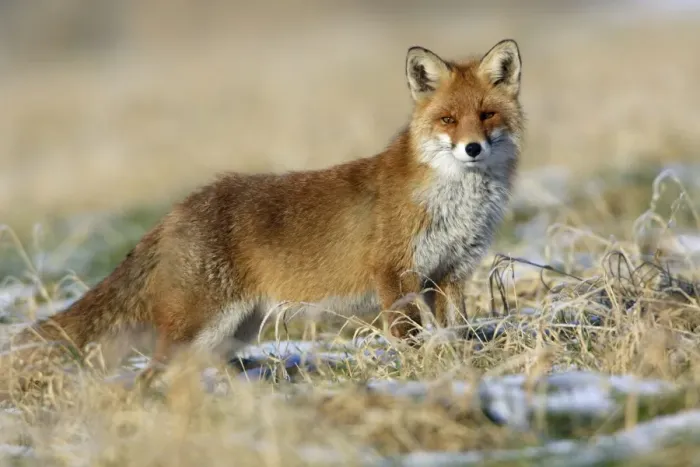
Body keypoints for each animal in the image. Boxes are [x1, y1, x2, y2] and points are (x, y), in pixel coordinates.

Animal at [11, 39, 524, 382]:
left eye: (487, 114)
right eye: (448, 120)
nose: (473, 149)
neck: (456, 203)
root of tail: (176, 210)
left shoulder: (448, 274)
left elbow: (454, 333)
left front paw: (461, 367)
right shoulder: (395, 275)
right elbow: (411, 338)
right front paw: (426, 375)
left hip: (232, 332)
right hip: (199, 328)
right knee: (148, 377)